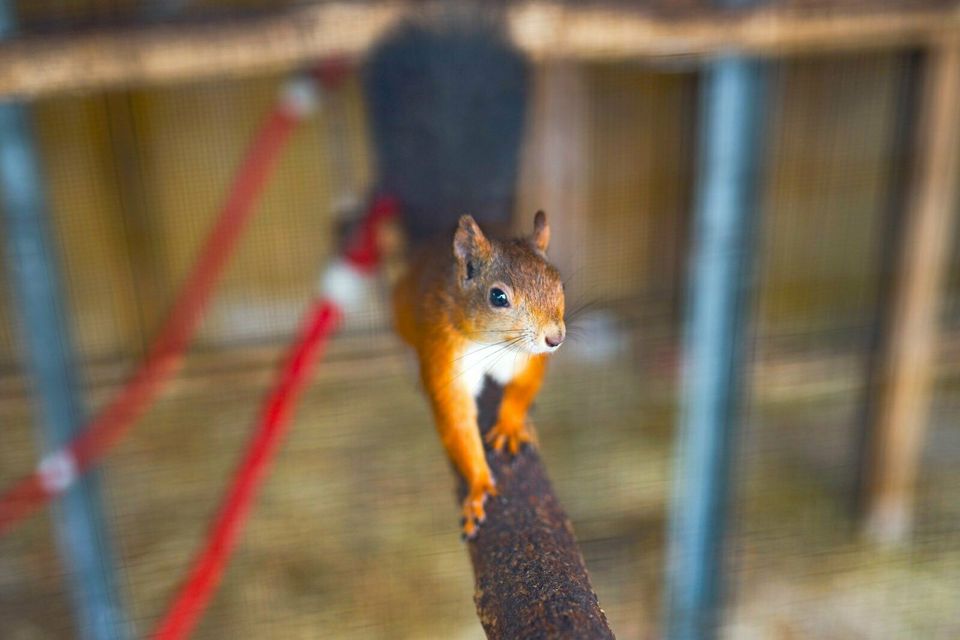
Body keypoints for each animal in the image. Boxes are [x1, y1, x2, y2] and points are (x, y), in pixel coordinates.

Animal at [394, 212, 568, 536]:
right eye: (498, 297)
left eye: (560, 284)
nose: (555, 339)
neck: (493, 344)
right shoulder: (444, 355)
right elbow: (457, 418)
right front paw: (479, 487)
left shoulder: (526, 360)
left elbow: (523, 387)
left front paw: (510, 425)